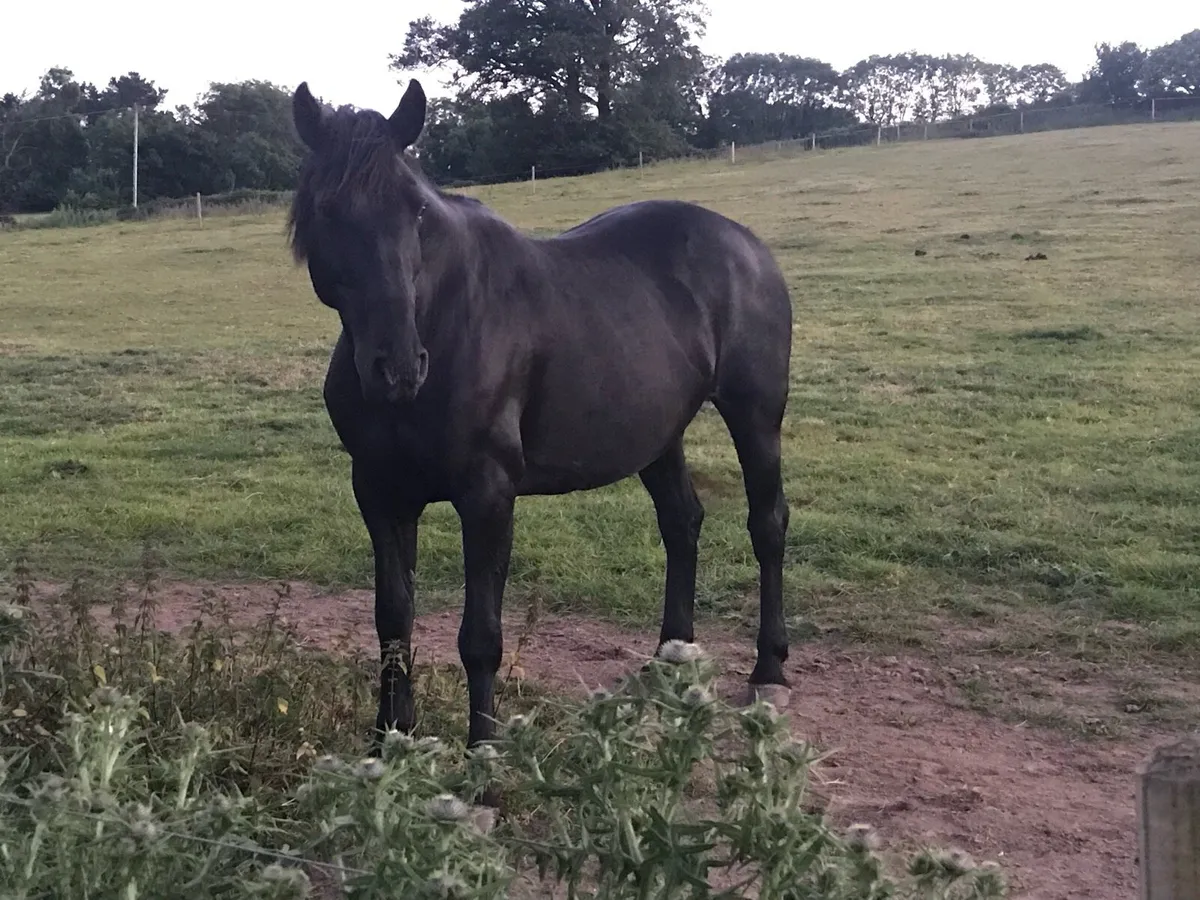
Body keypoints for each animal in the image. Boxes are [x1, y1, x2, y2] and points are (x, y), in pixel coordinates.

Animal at [287, 78, 794, 764]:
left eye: (415, 210)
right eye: (328, 209)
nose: (398, 367)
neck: (445, 322)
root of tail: (746, 244)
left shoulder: (487, 495)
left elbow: (480, 636)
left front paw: (483, 757)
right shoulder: (380, 494)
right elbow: (392, 622)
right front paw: (388, 745)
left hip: (755, 416)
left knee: (767, 525)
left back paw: (770, 670)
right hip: (658, 434)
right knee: (681, 522)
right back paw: (668, 661)